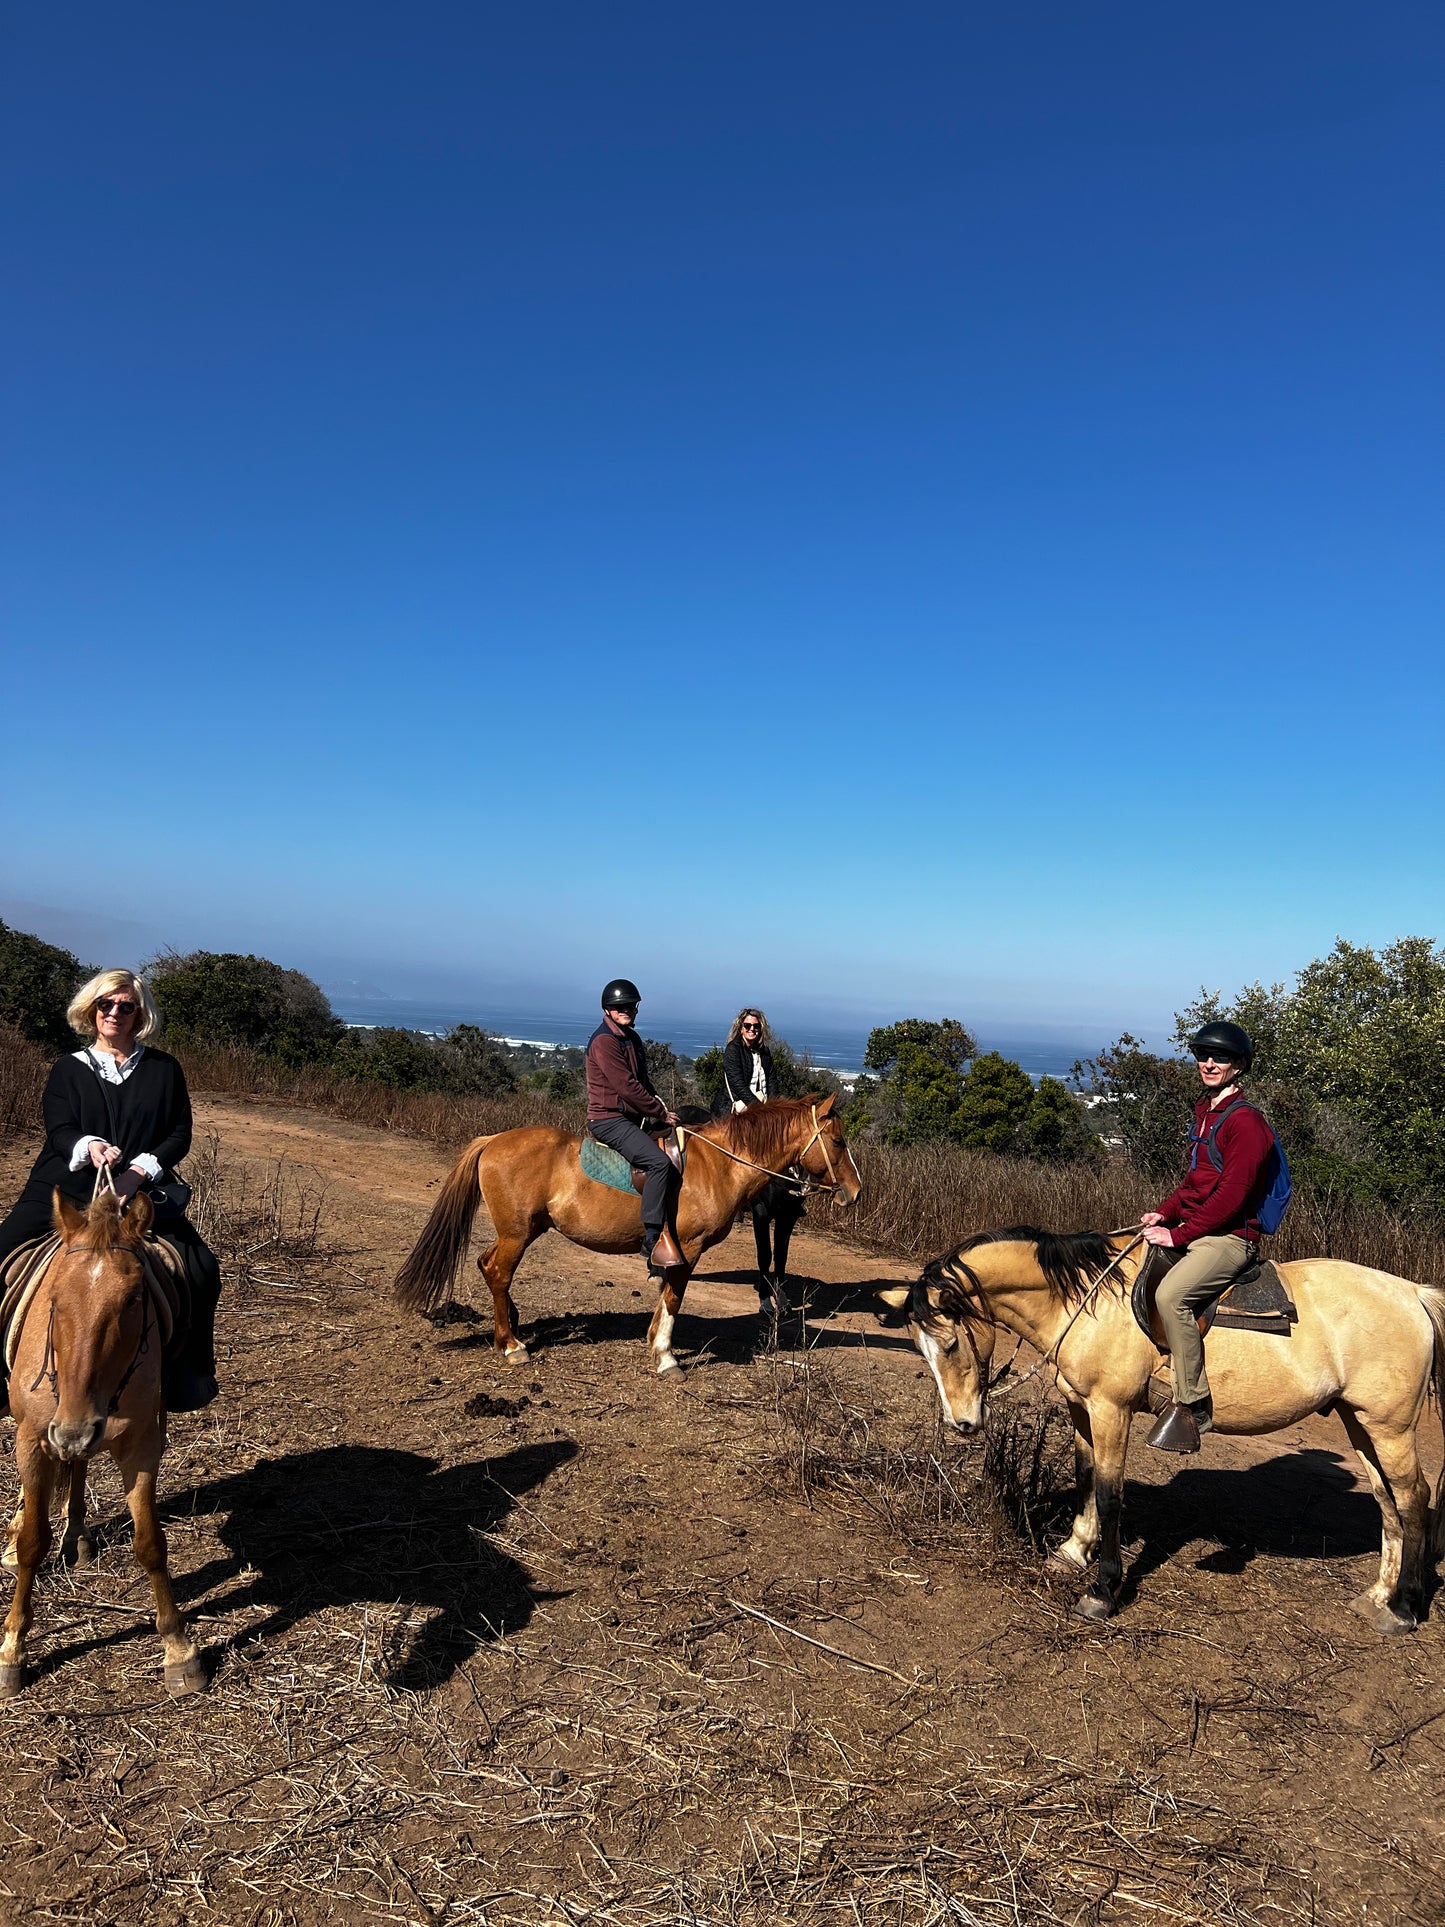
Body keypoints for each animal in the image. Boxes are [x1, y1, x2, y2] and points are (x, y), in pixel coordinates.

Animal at [1, 1187, 206, 1703]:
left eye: (133, 1300)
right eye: (54, 1298)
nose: (74, 1427)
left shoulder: (142, 1445)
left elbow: (151, 1543)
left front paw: (179, 1649)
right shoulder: (33, 1440)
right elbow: (33, 1542)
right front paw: (13, 1649)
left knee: (78, 1465)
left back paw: (77, 1533)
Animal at [393, 1102, 859, 1372]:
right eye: (837, 1141)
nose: (854, 1193)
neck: (718, 1164)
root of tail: (493, 1141)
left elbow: (666, 1294)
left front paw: (654, 1342)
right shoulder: (687, 1247)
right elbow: (674, 1295)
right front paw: (666, 1356)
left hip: (522, 1231)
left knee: (487, 1265)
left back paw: (510, 1326)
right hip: (517, 1234)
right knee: (497, 1272)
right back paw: (511, 1345)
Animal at [878, 1225, 1445, 1634]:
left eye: (951, 1343)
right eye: (921, 1349)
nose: (962, 1423)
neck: (1085, 1299)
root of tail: (1413, 1294)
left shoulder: (1112, 1410)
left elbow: (1111, 1495)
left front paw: (1102, 1591)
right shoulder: (1081, 1407)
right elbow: (1087, 1480)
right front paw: (1072, 1551)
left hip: (1390, 1427)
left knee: (1415, 1497)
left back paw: (1404, 1608)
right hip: (1359, 1422)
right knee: (1387, 1500)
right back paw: (1379, 1595)